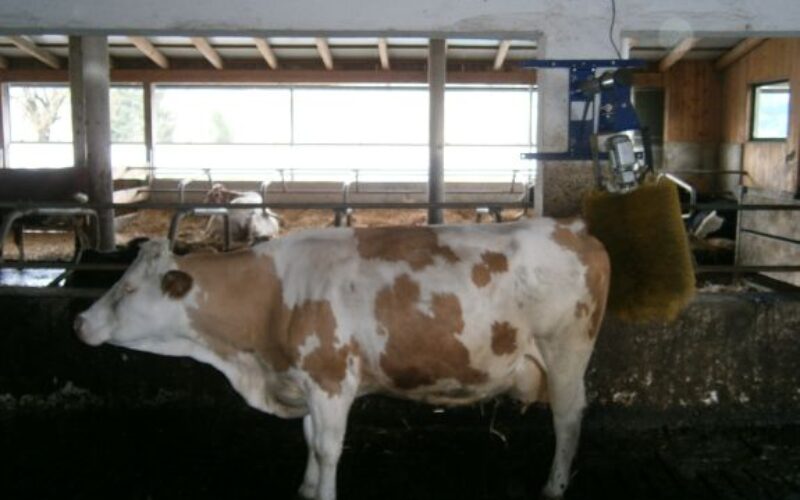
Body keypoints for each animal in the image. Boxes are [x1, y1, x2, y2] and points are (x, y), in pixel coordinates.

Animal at [74, 217, 610, 500]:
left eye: (127, 288)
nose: (79, 321)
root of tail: (574, 229)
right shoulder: (308, 381)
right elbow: (310, 441)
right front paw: (306, 488)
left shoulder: (331, 380)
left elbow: (329, 447)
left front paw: (324, 492)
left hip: (566, 354)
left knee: (568, 421)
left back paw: (554, 487)